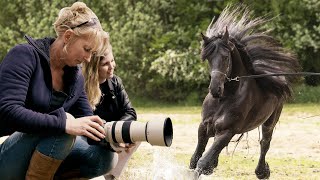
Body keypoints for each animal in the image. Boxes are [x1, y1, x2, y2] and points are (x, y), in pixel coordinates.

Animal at [189, 4, 302, 179]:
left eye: (226, 57)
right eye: (207, 58)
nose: (215, 89)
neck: (225, 97)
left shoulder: (227, 132)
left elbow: (202, 162)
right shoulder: (204, 127)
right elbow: (195, 160)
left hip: (270, 122)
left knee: (265, 143)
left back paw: (262, 171)